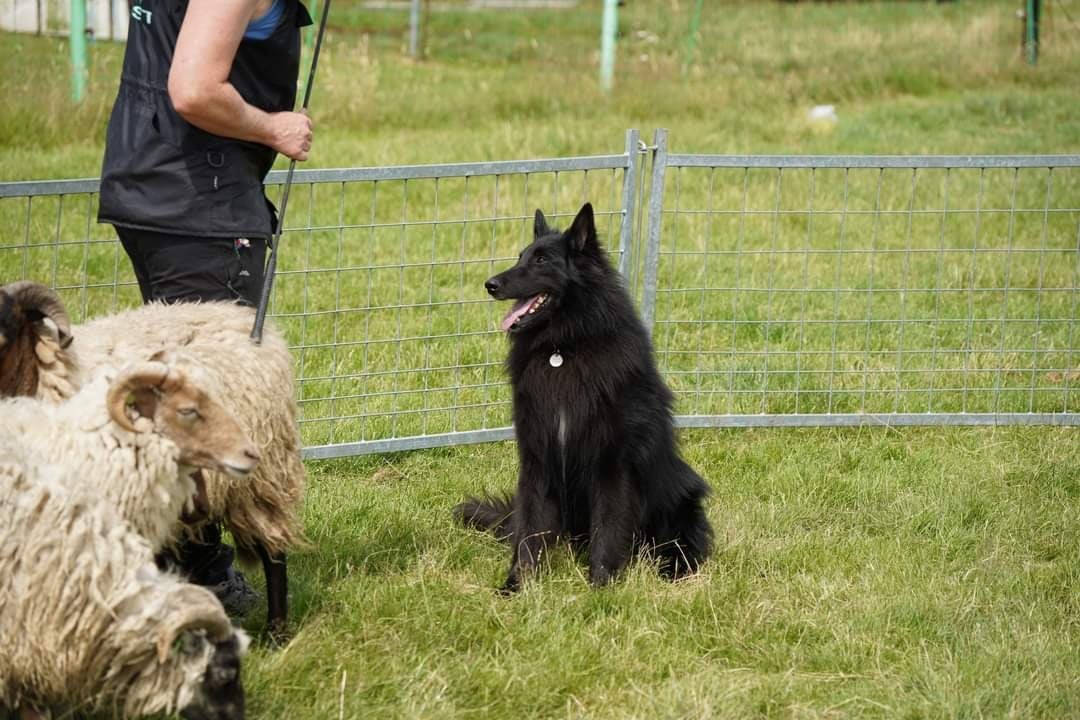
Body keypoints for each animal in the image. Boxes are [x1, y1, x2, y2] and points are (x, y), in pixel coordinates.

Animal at [454, 202, 713, 592]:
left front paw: (601, 586)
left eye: (541, 260)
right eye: (521, 256)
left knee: (682, 542)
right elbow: (529, 529)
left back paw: (674, 569)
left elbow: (608, 525)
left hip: (680, 497)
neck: (564, 348)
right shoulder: (537, 455)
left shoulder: (610, 462)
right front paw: (517, 584)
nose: (490, 284)